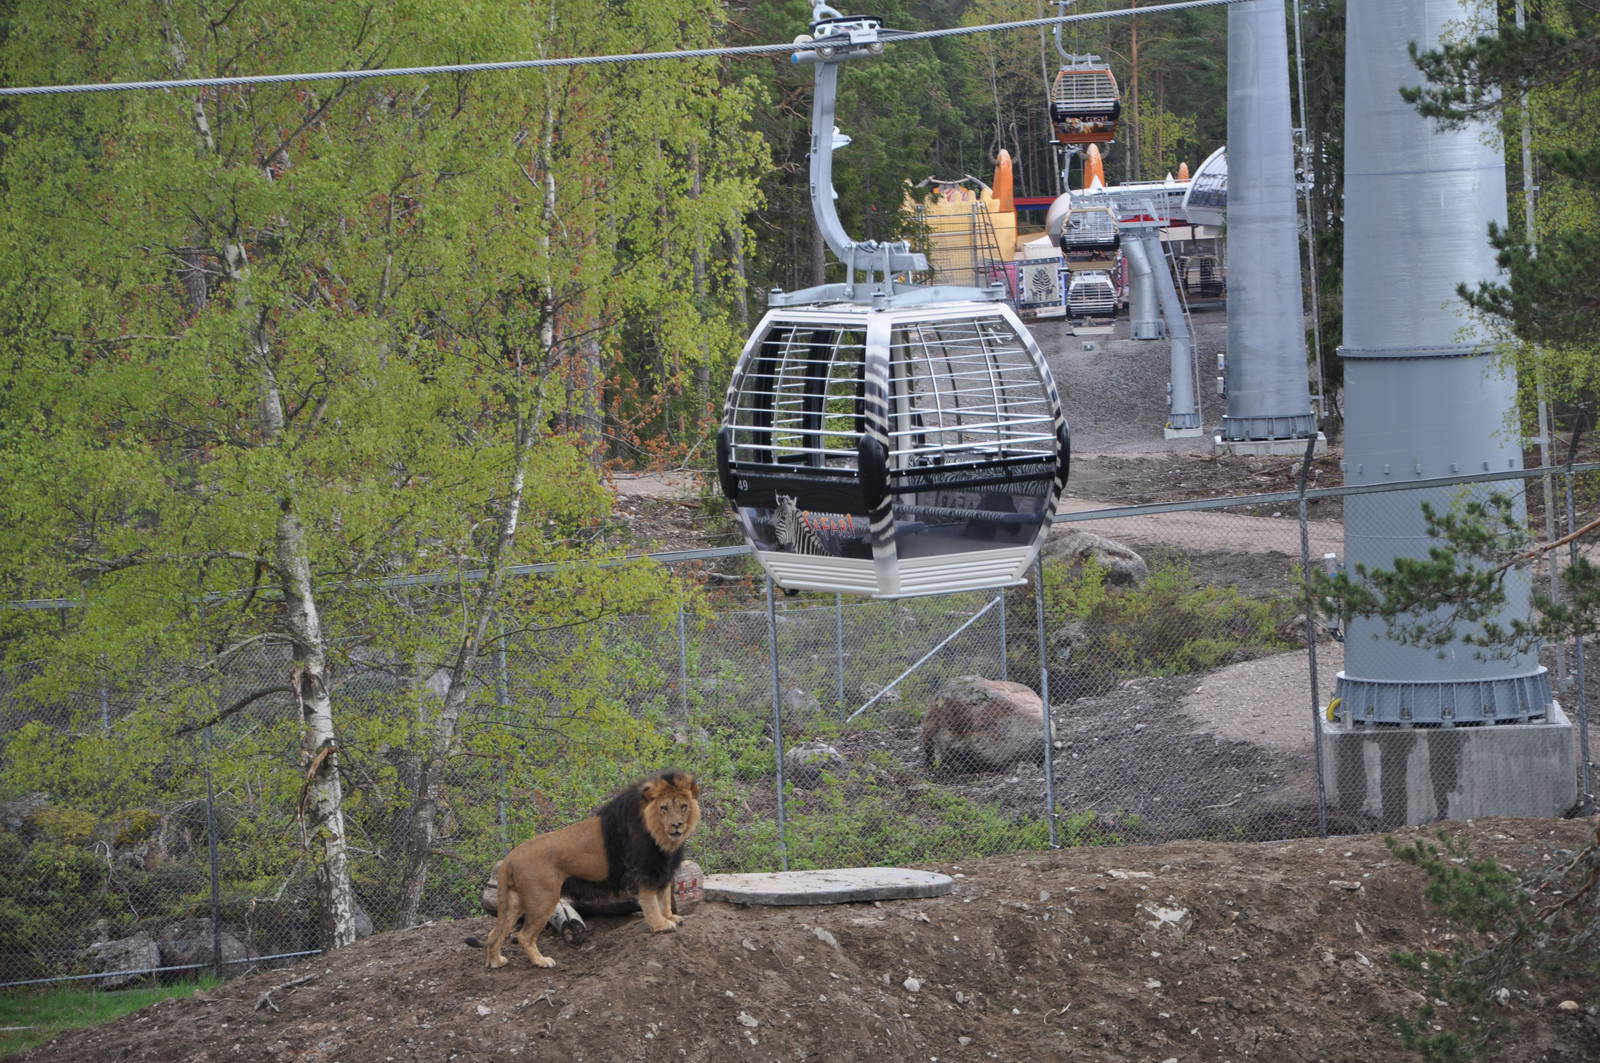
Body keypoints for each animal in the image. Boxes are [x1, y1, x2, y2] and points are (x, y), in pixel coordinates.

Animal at [482, 771, 701, 971]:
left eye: (684, 807)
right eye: (664, 808)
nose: (677, 825)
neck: (662, 839)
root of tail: (511, 856)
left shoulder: (663, 870)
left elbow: (664, 899)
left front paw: (671, 917)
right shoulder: (644, 872)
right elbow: (652, 903)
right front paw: (661, 925)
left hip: (514, 902)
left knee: (494, 934)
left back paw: (495, 962)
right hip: (542, 899)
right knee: (523, 935)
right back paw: (541, 961)